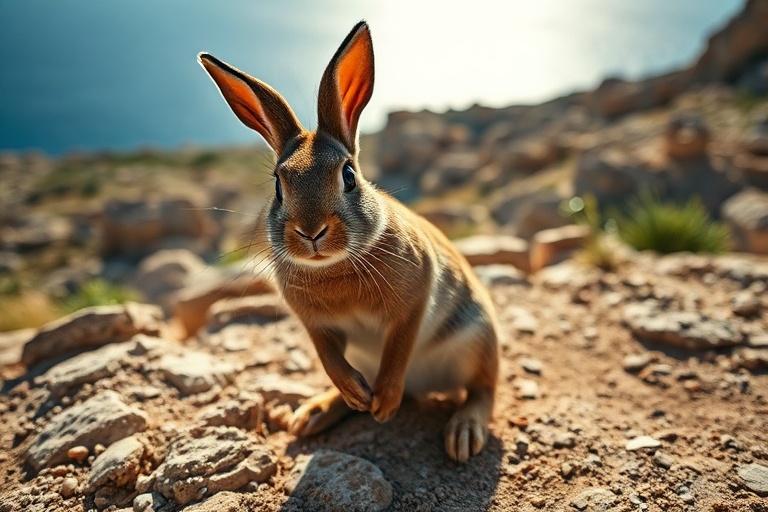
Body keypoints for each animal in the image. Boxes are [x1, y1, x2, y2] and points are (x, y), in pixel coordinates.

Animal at [198, 20, 499, 462]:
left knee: (483, 389)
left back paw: (462, 433)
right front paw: (357, 396)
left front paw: (384, 405)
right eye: (278, 186)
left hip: (477, 341)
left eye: (349, 176)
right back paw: (314, 413)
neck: (333, 266)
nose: (311, 232)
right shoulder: (317, 326)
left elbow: (399, 347)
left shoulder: (414, 299)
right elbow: (328, 358)